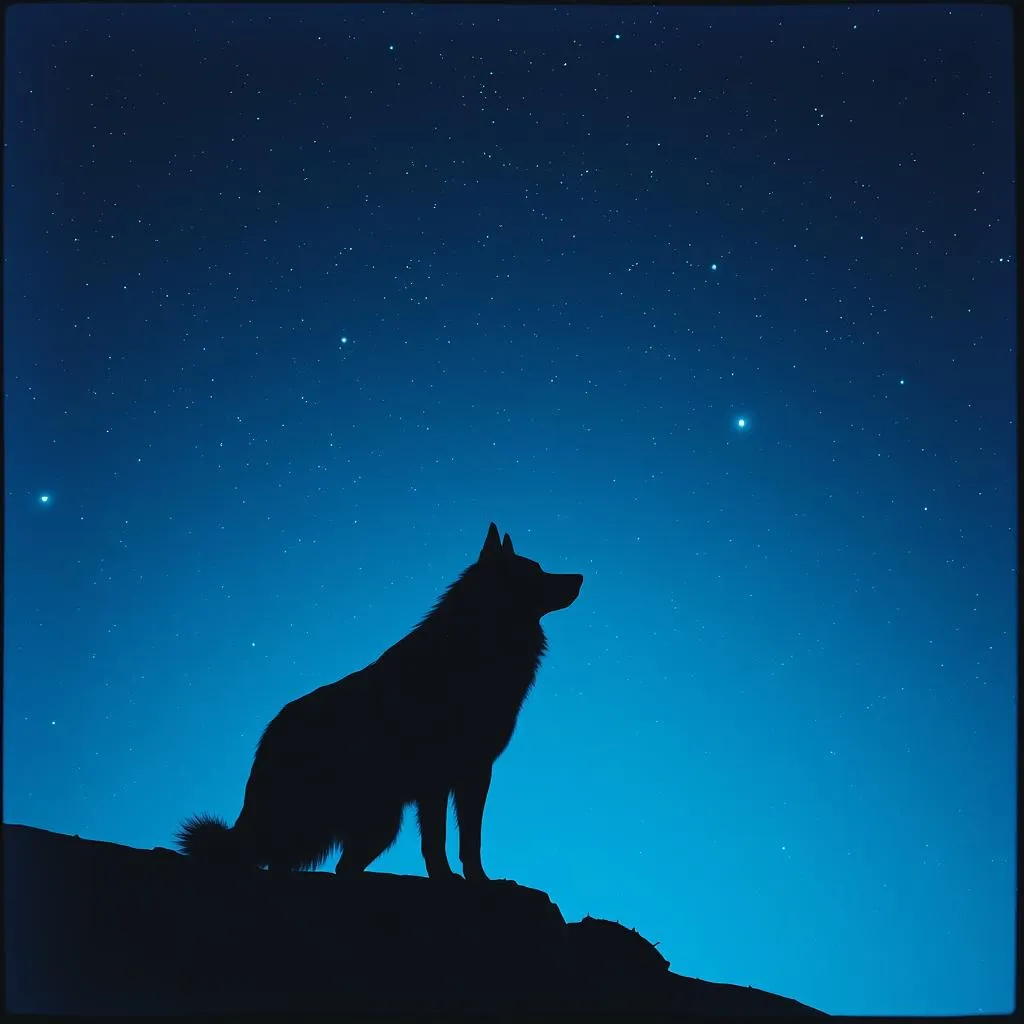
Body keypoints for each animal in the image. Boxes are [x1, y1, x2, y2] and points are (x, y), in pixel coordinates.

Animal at [176, 523, 583, 880]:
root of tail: (267, 740)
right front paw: (446, 878)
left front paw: (478, 880)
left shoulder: (473, 772)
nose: (580, 577)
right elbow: (438, 841)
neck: (476, 647)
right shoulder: (438, 778)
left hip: (377, 825)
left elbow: (470, 841)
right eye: (536, 571)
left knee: (333, 866)